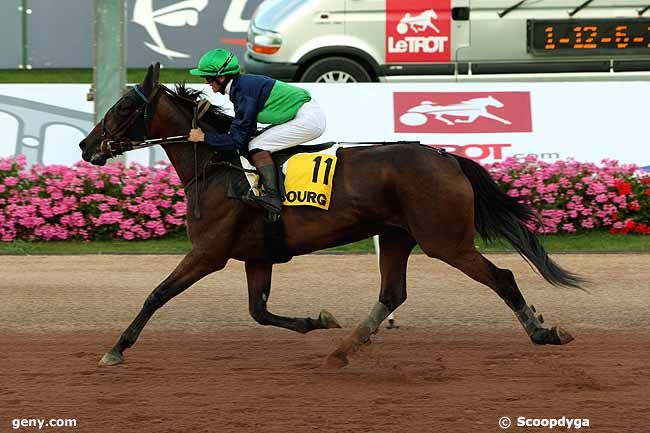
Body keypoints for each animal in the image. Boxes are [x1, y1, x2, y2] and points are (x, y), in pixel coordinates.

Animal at [78, 65, 580, 368]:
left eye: (125, 108)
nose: (86, 146)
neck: (218, 171)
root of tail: (446, 157)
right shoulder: (257, 256)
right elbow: (259, 312)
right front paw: (319, 321)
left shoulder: (208, 253)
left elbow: (157, 294)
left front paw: (116, 350)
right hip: (396, 235)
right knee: (392, 294)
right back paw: (344, 347)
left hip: (446, 240)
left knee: (502, 278)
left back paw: (542, 333)